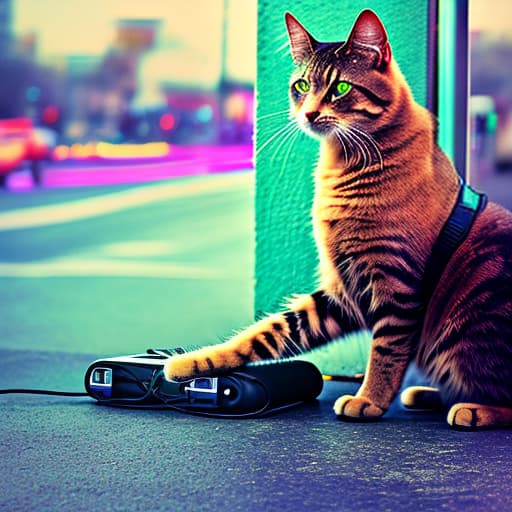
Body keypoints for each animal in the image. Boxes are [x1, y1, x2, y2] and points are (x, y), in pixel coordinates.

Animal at [164, 10, 512, 430]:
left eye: (341, 88)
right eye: (302, 86)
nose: (310, 113)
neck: (344, 163)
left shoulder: (395, 286)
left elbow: (385, 354)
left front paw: (370, 400)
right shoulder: (340, 293)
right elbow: (265, 333)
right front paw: (197, 361)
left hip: (474, 316)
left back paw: (473, 408)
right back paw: (431, 395)